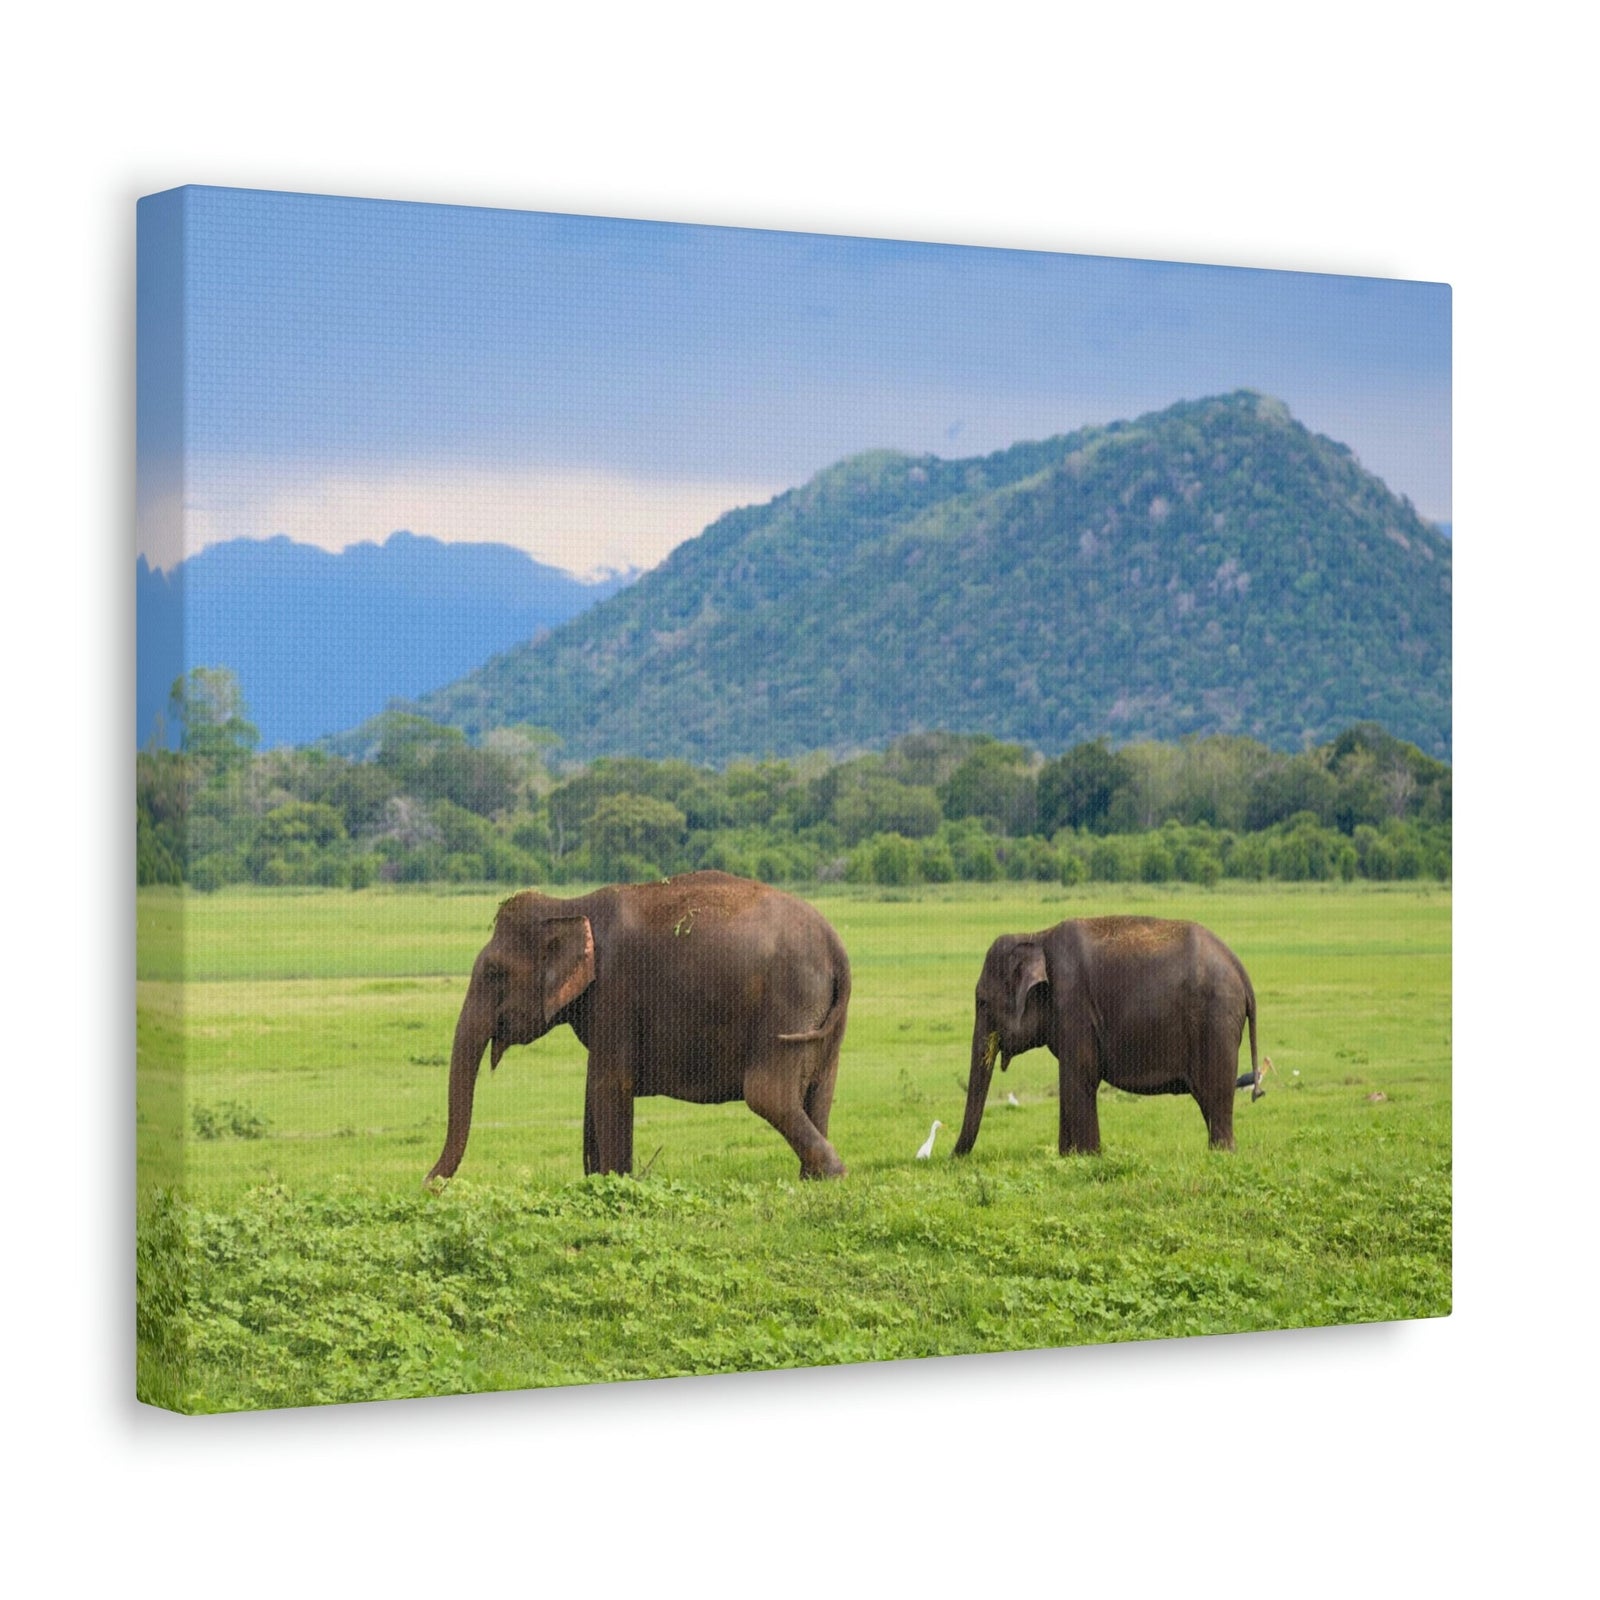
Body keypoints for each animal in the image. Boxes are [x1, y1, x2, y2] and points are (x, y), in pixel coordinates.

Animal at [426, 871, 851, 1183]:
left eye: (494, 972)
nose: (429, 1185)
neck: (571, 906)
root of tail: (836, 945)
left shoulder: (615, 990)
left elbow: (610, 1085)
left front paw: (615, 1182)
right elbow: (594, 1090)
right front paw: (599, 1180)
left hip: (788, 999)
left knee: (768, 1093)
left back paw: (832, 1174)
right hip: (824, 1016)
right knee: (820, 1090)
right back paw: (812, 1181)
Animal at [953, 916, 1261, 1158]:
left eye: (982, 1002)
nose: (952, 1158)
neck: (1036, 936)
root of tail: (1241, 969)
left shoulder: (1073, 1004)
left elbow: (1080, 1075)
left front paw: (1086, 1157)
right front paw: (1070, 1157)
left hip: (1216, 1020)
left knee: (1215, 1096)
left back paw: (1222, 1153)